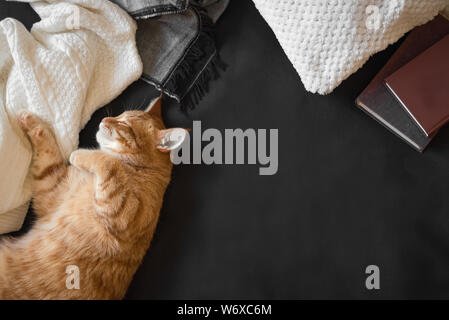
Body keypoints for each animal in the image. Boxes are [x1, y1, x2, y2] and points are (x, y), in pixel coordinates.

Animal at [0, 96, 186, 298]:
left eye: (125, 124)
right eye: (120, 115)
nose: (105, 119)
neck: (138, 169)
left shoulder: (123, 214)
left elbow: (108, 161)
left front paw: (81, 154)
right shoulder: (50, 186)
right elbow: (46, 145)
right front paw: (31, 120)